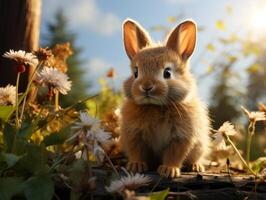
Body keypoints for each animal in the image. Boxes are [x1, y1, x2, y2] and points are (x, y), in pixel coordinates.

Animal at [120, 18, 210, 178]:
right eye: (136, 73)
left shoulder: (181, 137)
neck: (155, 106)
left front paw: (169, 170)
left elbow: (174, 155)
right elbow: (137, 152)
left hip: (200, 146)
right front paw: (136, 166)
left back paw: (196, 166)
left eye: (167, 73)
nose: (146, 87)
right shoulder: (134, 135)